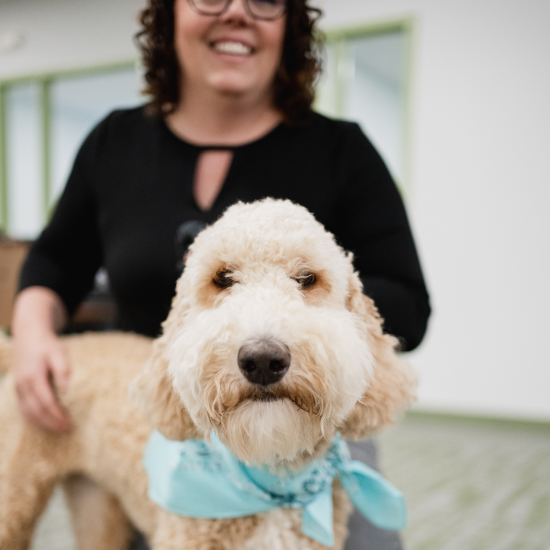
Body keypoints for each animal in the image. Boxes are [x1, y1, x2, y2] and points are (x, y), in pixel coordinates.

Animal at [0, 199, 416, 550]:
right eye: (223, 278)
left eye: (307, 278)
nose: (262, 359)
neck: (271, 479)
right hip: (14, 502)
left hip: (95, 506)